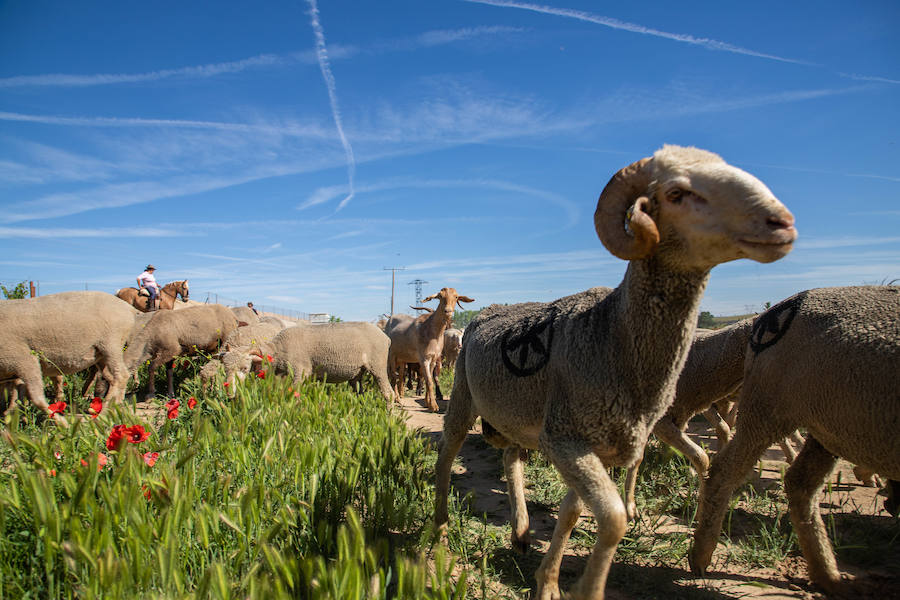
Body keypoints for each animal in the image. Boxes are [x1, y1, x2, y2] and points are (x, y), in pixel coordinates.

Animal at [0, 290, 140, 422]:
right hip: (101, 355)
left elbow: (37, 398)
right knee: (111, 378)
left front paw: (62, 423)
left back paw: (105, 413)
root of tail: (128, 308)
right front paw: (12, 417)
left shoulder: (24, 358)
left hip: (111, 343)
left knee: (121, 376)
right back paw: (111, 408)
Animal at [434, 145, 796, 600]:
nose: (782, 224)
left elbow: (572, 514)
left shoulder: (597, 447)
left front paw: (548, 582)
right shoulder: (565, 439)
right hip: (464, 394)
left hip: (517, 415)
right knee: (447, 453)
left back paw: (520, 531)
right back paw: (439, 531)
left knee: (511, 458)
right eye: (676, 193)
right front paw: (584, 587)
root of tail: (491, 311)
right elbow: (613, 520)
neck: (611, 335)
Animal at [692, 284, 896, 596]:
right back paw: (701, 557)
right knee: (725, 469)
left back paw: (829, 577)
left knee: (800, 483)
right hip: (769, 407)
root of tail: (775, 311)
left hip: (828, 425)